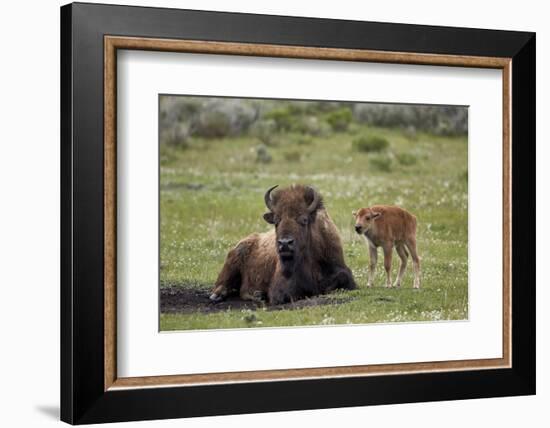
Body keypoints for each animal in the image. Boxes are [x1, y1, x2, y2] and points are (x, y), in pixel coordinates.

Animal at [210, 184, 358, 304]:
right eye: (276, 221)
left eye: (304, 220)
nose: (285, 243)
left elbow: (342, 278)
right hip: (232, 263)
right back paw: (220, 296)